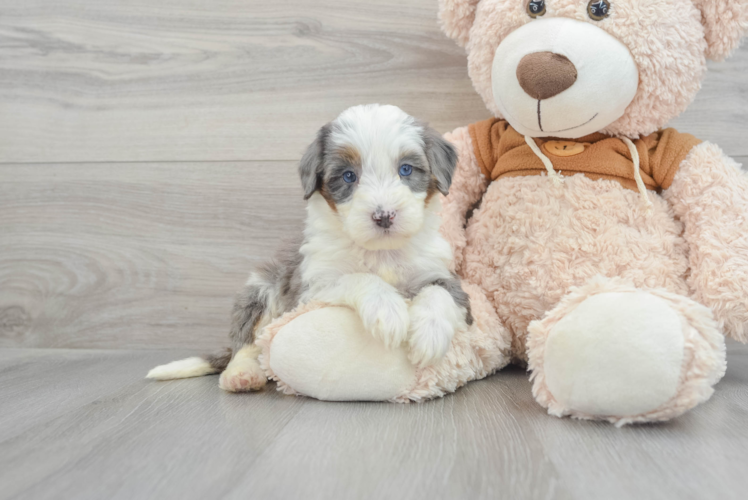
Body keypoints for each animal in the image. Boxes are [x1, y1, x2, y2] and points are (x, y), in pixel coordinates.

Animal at [146, 105, 470, 392]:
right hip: (263, 288)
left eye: (406, 169)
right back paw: (241, 375)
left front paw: (429, 336)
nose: (384, 216)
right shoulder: (312, 289)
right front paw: (388, 312)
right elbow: (358, 278)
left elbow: (439, 293)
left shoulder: (440, 274)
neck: (381, 252)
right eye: (349, 176)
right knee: (247, 341)